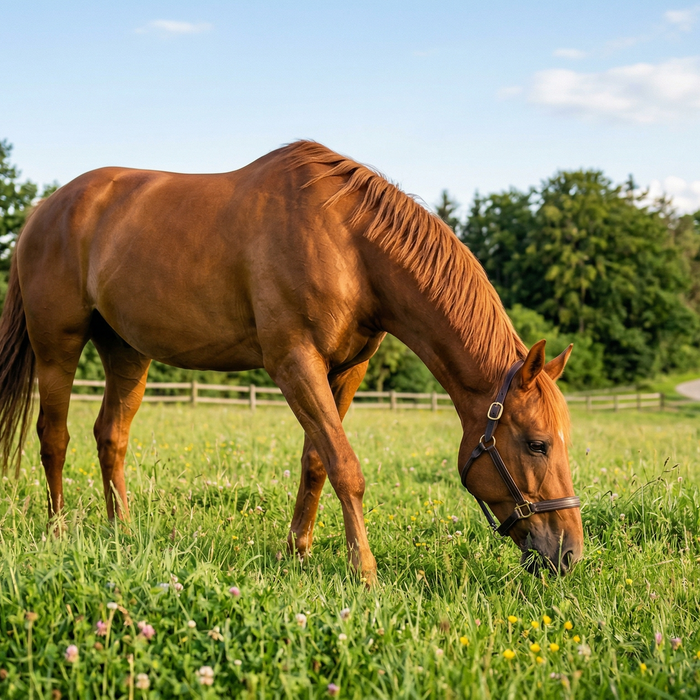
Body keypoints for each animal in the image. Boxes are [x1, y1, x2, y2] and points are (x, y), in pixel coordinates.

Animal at [0, 141, 583, 582]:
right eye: (537, 443)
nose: (569, 552)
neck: (347, 244)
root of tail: (44, 209)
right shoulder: (293, 363)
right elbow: (346, 466)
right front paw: (364, 572)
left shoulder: (346, 370)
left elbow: (317, 462)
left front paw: (297, 551)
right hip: (58, 347)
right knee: (54, 437)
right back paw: (57, 530)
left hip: (126, 351)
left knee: (111, 436)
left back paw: (120, 530)